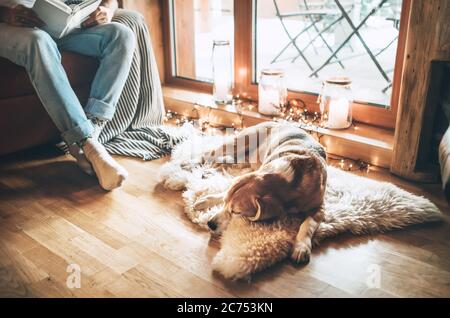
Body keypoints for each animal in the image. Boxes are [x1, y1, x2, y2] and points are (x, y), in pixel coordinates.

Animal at [193, 121, 326, 264]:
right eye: (225, 203)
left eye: (237, 212)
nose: (210, 224)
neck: (290, 179)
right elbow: (225, 191)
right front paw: (207, 200)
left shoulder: (320, 207)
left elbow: (308, 225)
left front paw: (301, 246)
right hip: (239, 142)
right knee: (210, 153)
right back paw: (198, 165)